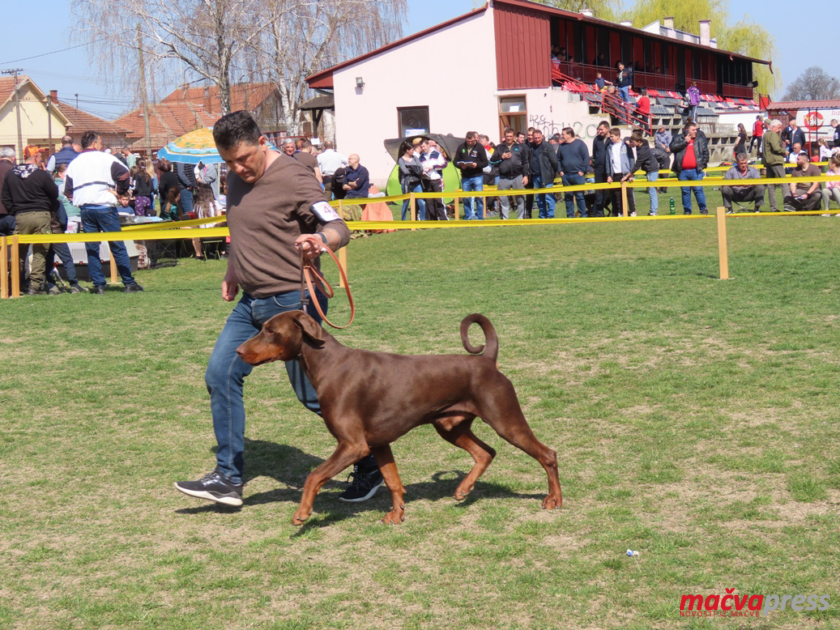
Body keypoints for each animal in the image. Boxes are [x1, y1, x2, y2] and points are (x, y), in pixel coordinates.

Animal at [238, 312, 564, 528]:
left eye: (270, 330)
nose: (239, 351)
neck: (329, 365)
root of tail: (487, 361)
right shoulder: (378, 443)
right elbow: (394, 482)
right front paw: (397, 515)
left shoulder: (352, 445)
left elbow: (313, 476)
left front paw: (302, 513)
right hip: (449, 426)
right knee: (486, 452)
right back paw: (463, 489)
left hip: (505, 420)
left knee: (547, 454)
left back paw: (554, 500)